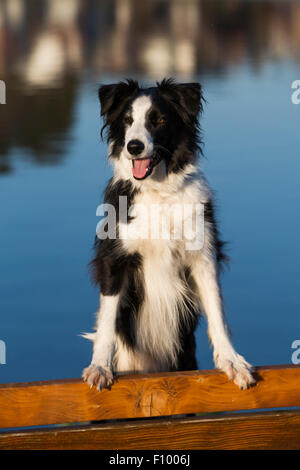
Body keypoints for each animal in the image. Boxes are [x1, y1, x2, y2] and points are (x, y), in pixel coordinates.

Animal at [82, 79, 255, 392]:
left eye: (159, 120)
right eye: (127, 121)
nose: (134, 146)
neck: (158, 191)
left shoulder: (203, 257)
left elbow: (217, 312)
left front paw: (231, 360)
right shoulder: (114, 260)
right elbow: (107, 319)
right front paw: (100, 366)